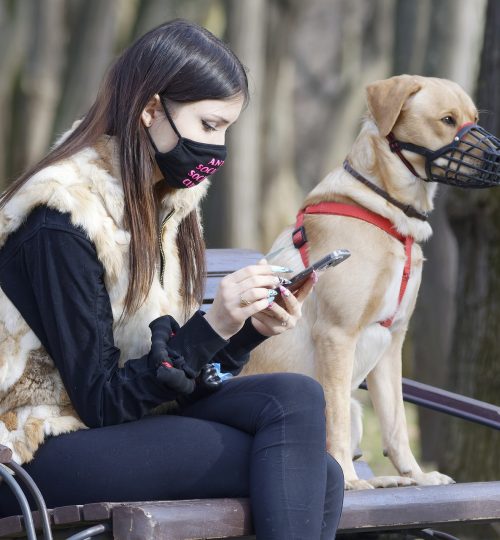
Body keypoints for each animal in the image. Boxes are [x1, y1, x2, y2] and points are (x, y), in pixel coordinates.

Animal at [240, 75, 486, 490]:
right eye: (447, 120)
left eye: (474, 118)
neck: (387, 213)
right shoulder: (337, 335)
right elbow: (334, 418)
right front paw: (349, 479)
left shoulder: (393, 339)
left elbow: (396, 423)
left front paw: (417, 475)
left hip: (360, 407)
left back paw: (388, 481)